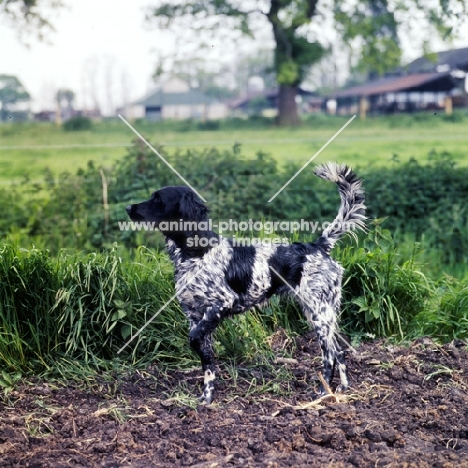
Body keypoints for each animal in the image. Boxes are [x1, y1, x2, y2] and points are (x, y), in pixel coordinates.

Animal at [127, 162, 366, 402]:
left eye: (158, 200)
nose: (128, 207)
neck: (196, 252)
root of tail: (317, 246)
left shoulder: (220, 305)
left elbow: (194, 340)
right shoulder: (195, 316)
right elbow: (207, 362)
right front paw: (207, 397)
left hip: (319, 315)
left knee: (329, 355)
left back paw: (322, 392)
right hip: (319, 314)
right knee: (339, 351)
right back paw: (342, 388)